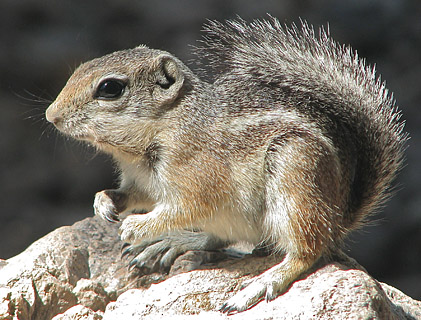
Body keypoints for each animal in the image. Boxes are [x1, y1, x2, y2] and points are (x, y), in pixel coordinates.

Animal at [46, 17, 406, 312]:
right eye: (79, 70)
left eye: (110, 88)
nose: (52, 115)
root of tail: (340, 217)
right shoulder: (141, 182)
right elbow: (132, 195)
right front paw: (104, 202)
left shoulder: (198, 176)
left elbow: (185, 207)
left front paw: (136, 227)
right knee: (218, 239)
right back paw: (175, 242)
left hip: (295, 177)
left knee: (308, 249)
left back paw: (261, 283)